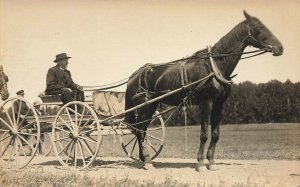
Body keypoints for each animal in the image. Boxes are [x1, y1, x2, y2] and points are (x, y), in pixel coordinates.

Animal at [124, 10, 284, 171]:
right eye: (260, 27)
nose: (280, 48)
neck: (214, 66)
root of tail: (134, 75)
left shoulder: (219, 104)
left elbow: (215, 134)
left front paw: (212, 162)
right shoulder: (206, 102)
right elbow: (204, 134)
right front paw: (200, 163)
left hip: (152, 106)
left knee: (141, 130)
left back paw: (144, 159)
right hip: (145, 106)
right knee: (140, 131)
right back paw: (147, 161)